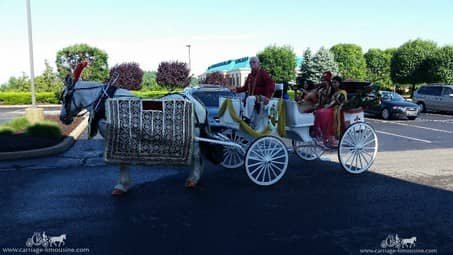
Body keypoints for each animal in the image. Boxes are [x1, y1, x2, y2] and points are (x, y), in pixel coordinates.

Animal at [60, 80, 207, 194]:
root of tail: (195, 100)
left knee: (196, 155)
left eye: (65, 97)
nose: (62, 118)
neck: (104, 103)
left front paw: (122, 185)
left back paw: (193, 179)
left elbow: (122, 162)